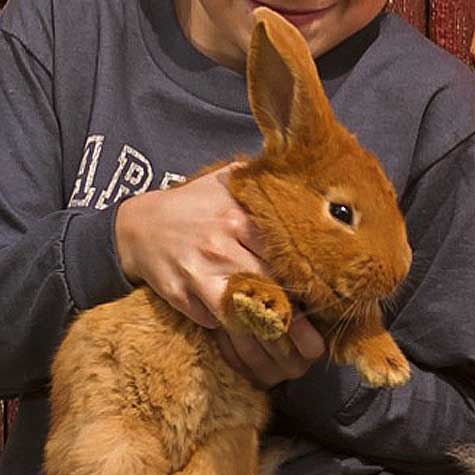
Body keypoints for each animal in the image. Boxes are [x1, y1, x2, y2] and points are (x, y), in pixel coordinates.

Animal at [46, 7, 414, 475]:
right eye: (342, 212)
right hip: (112, 440)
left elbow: (356, 326)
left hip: (226, 444)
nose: (401, 268)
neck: (271, 210)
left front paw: (389, 365)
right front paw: (262, 304)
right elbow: (234, 294)